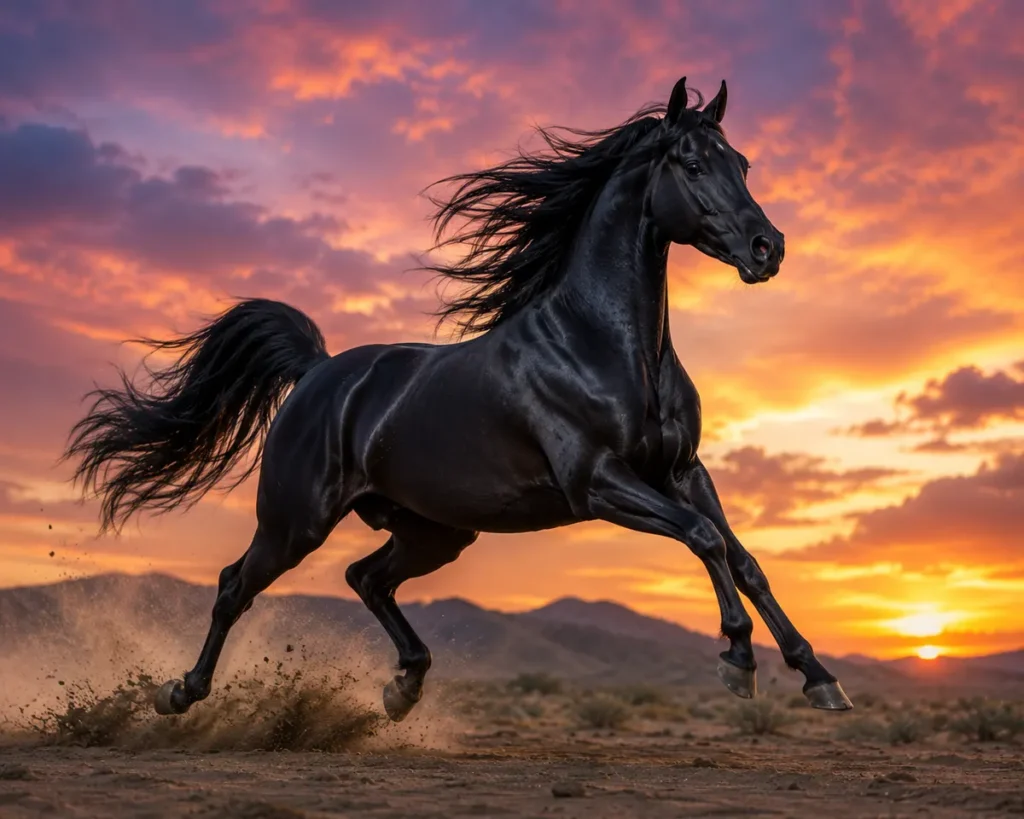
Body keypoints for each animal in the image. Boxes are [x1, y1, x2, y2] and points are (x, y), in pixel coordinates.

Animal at [64, 76, 853, 722]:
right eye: (691, 165)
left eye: (742, 163)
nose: (768, 248)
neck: (603, 345)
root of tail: (319, 374)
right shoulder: (600, 482)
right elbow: (704, 538)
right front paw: (738, 659)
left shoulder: (683, 471)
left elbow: (744, 558)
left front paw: (819, 677)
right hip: (295, 520)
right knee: (236, 584)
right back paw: (179, 692)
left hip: (434, 530)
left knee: (364, 576)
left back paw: (404, 686)